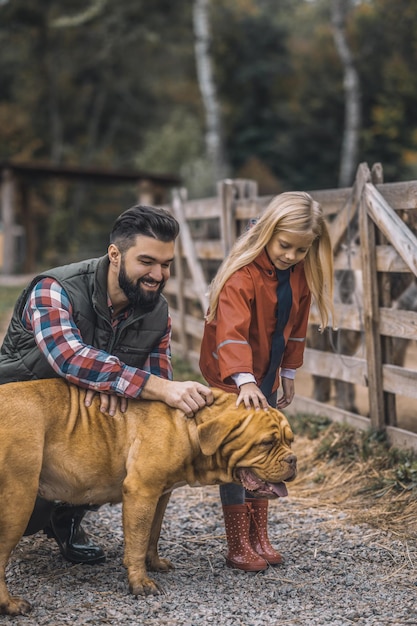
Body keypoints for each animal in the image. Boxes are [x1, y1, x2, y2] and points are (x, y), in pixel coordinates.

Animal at [0, 376, 296, 616]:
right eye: (266, 443)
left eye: (290, 440)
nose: (293, 459)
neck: (192, 424)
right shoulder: (142, 491)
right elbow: (138, 539)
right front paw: (140, 583)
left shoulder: (160, 495)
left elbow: (152, 533)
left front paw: (153, 563)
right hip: (19, 501)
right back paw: (10, 605)